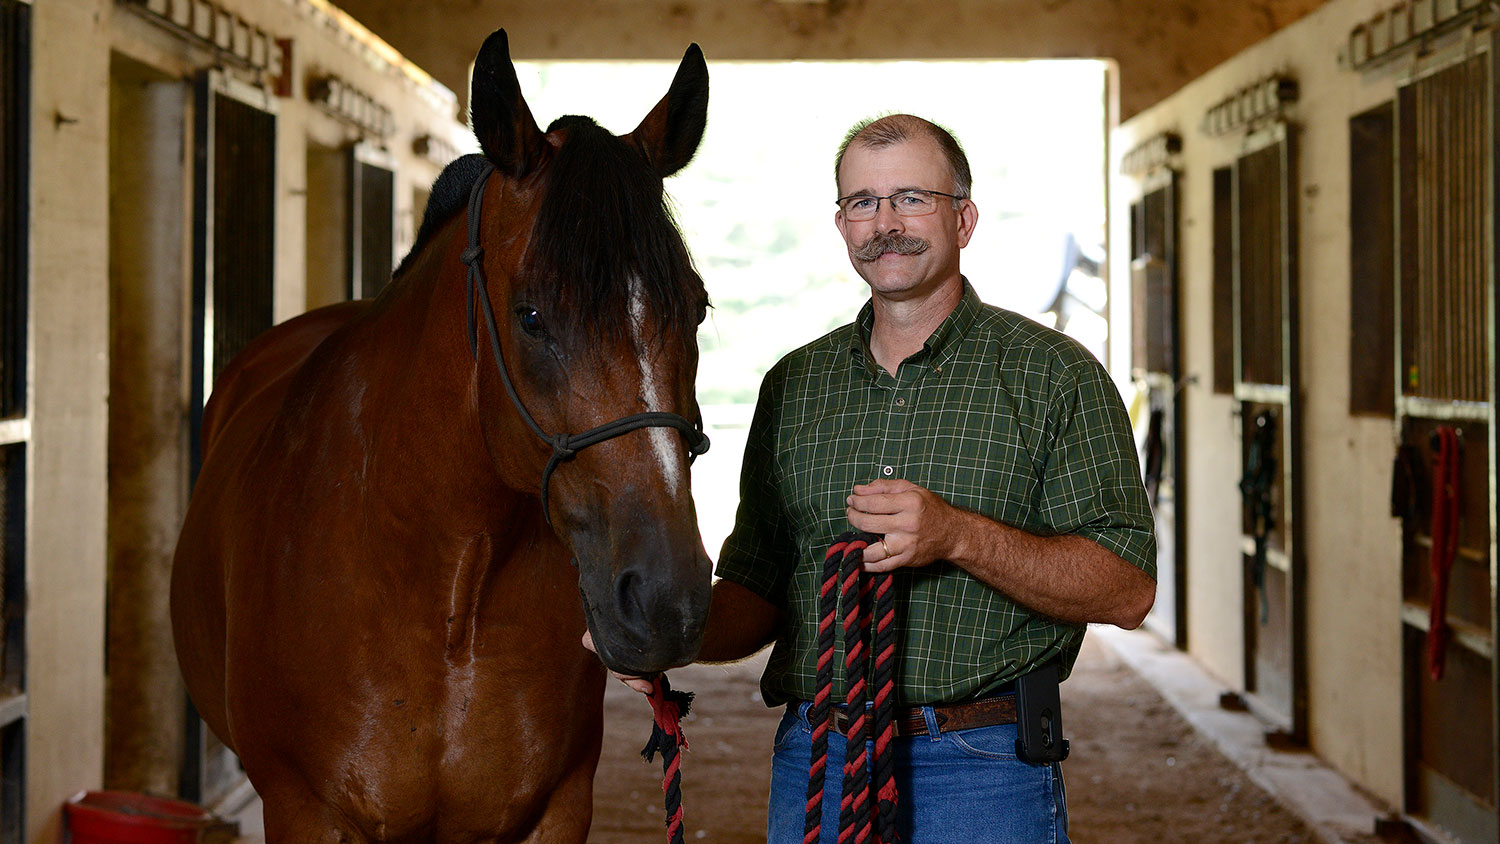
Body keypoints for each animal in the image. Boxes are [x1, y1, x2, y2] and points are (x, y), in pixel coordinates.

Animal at [170, 29, 714, 839]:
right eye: (530, 315)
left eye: (698, 306)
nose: (667, 600)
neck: (450, 596)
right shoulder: (302, 808)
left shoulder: (559, 807)